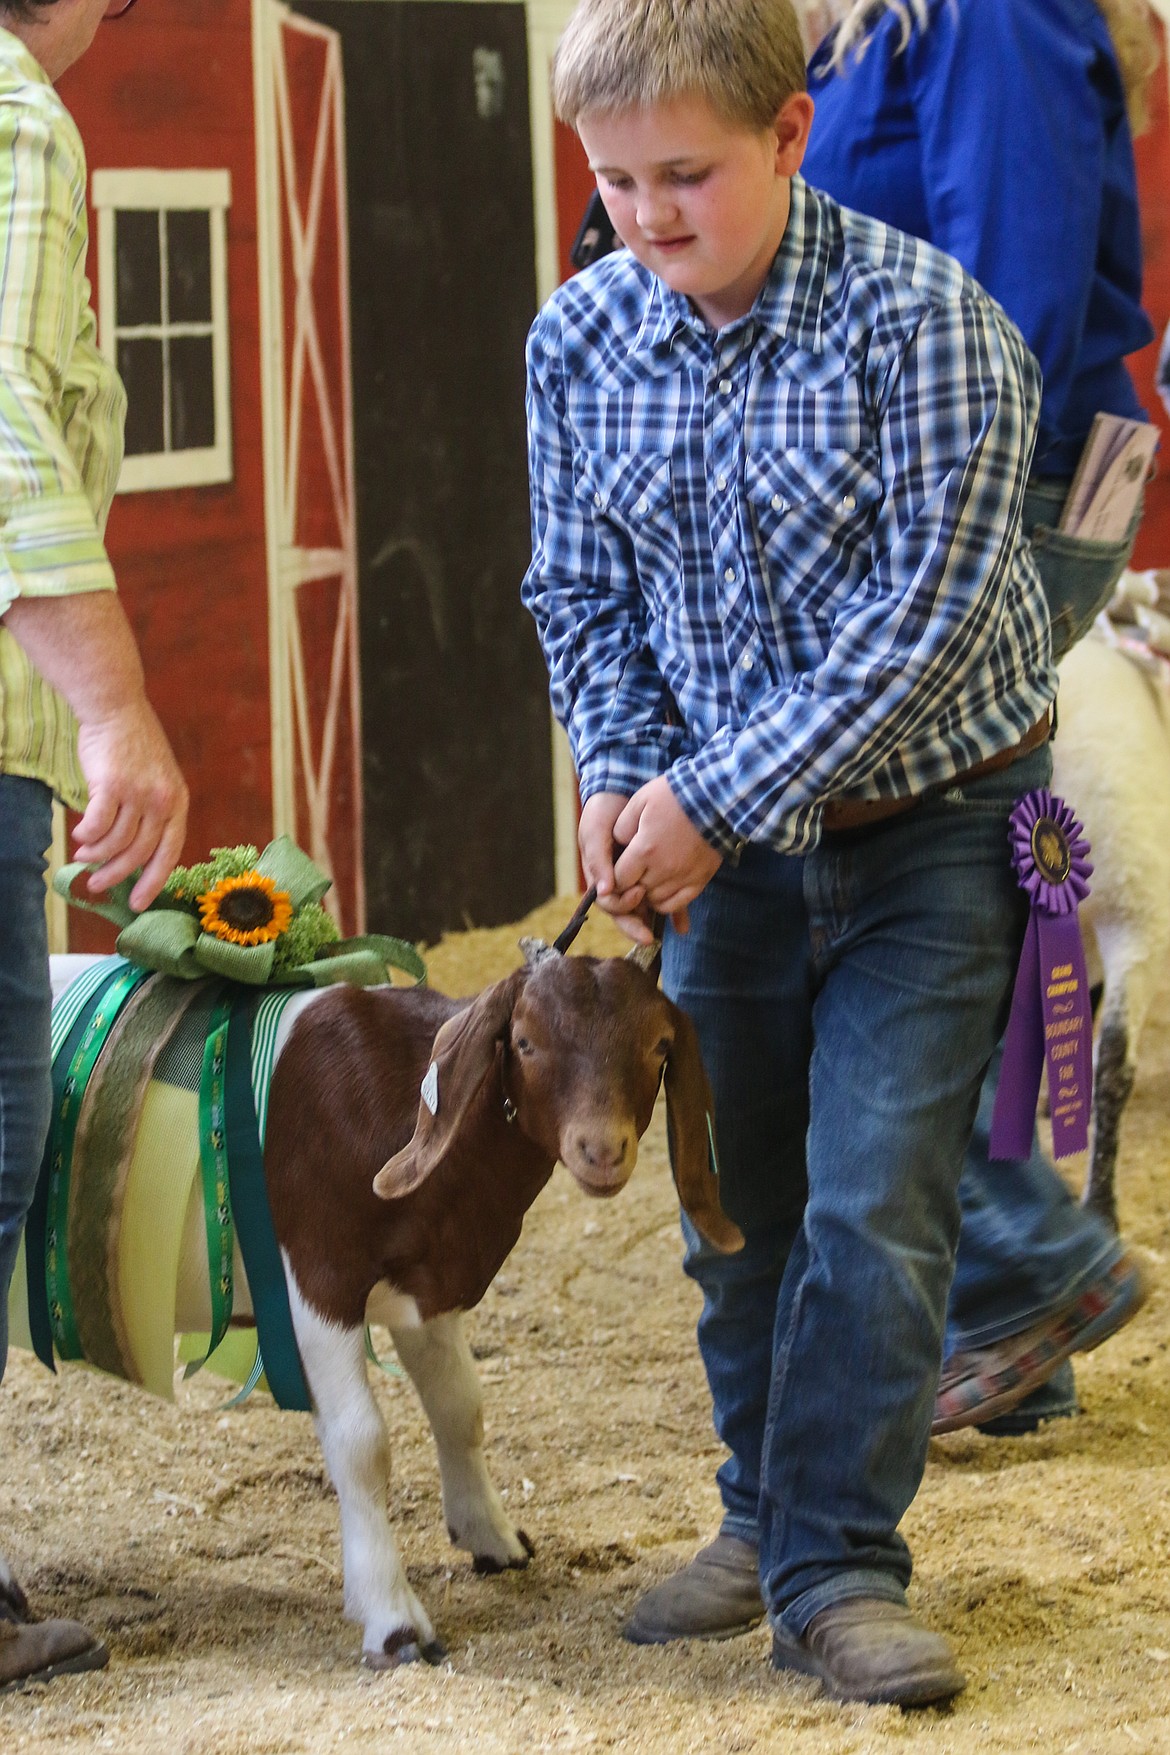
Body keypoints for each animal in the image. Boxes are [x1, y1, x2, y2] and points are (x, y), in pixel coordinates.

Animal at [41, 940, 747, 1663]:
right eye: (525, 1040)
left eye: (659, 1045)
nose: (602, 1150)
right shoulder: (317, 1280)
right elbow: (360, 1442)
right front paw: (393, 1619)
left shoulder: (423, 1284)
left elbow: (460, 1405)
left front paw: (490, 1536)